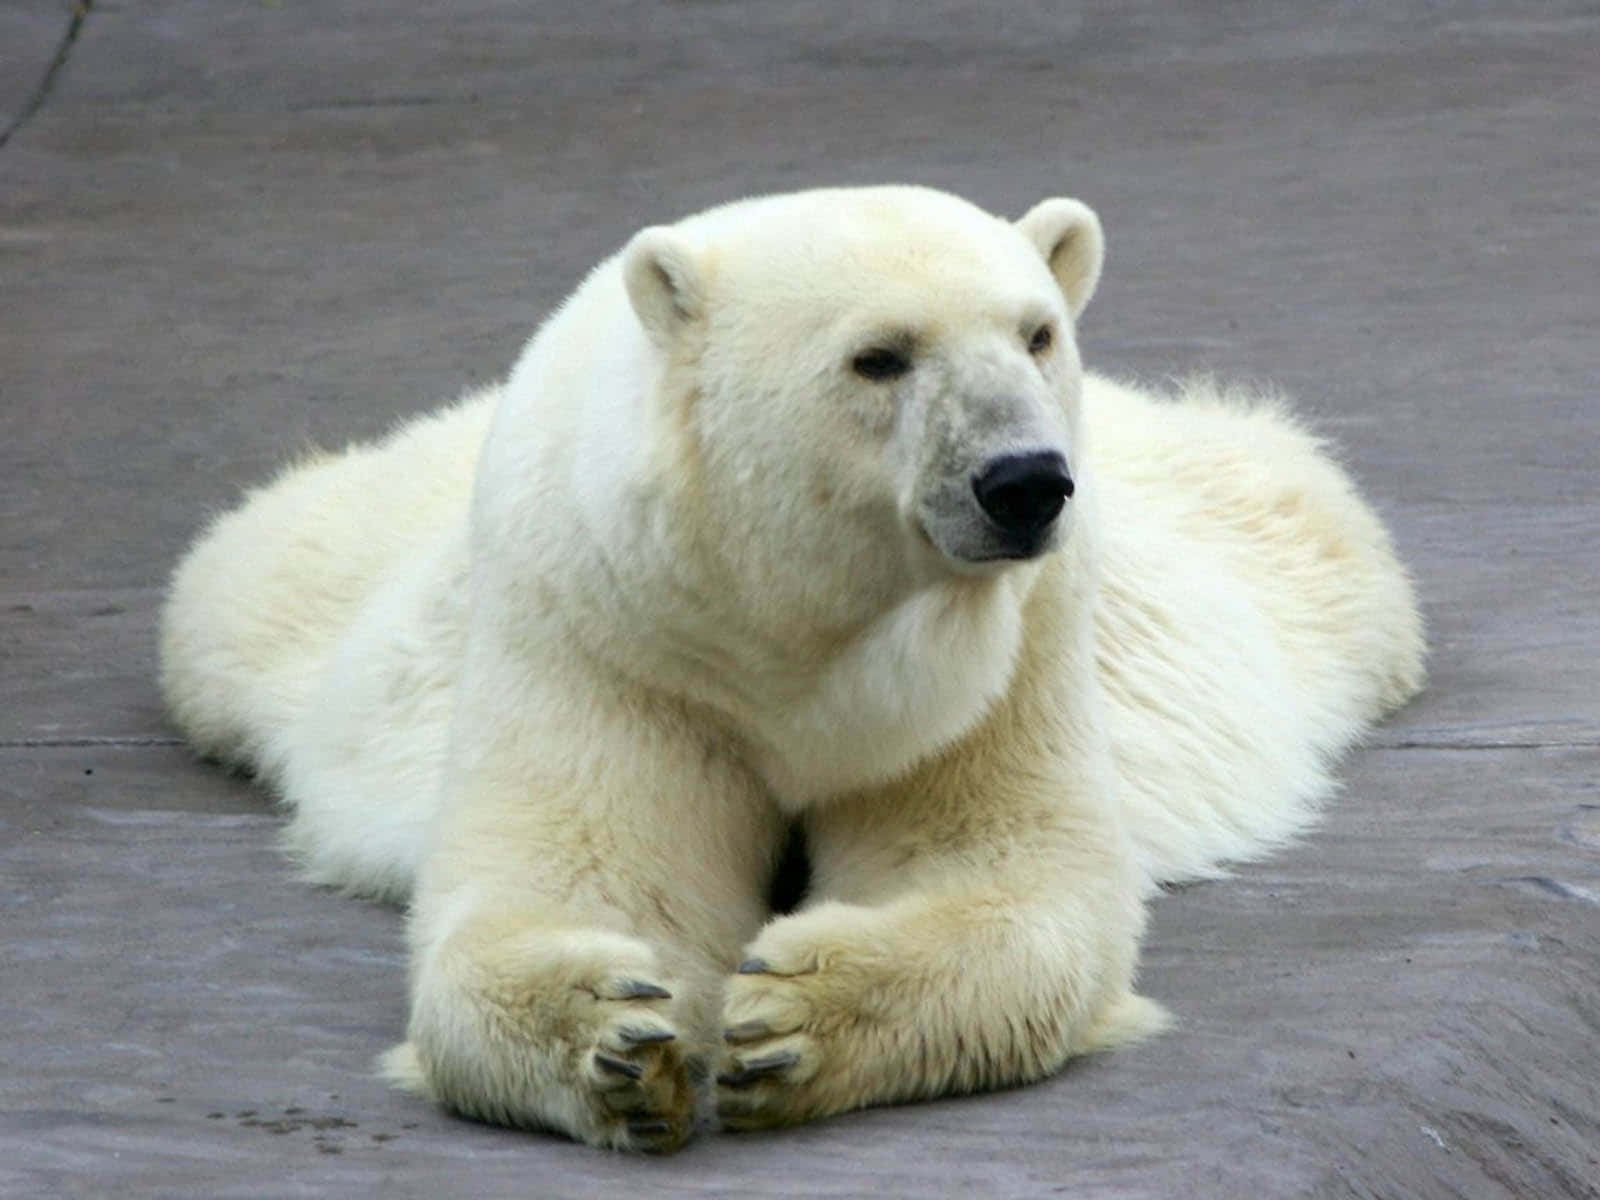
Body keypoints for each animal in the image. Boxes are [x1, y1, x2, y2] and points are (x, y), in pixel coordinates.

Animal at [159, 185, 1425, 1152]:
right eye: (879, 357)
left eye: (1035, 333)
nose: (1024, 481)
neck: (784, 619)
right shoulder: (612, 637)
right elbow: (579, 874)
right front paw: (617, 1039)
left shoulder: (1002, 660)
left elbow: (1000, 867)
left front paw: (789, 1020)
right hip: (318, 583)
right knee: (247, 580)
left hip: (1268, 538)